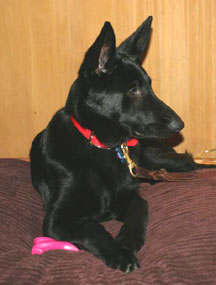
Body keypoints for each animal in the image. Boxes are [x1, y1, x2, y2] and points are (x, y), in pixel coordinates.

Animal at [30, 16, 214, 272]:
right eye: (133, 89)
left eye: (149, 86)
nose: (180, 124)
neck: (100, 146)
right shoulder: (58, 219)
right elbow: (92, 227)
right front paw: (119, 252)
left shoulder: (129, 196)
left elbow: (141, 207)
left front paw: (128, 239)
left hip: (160, 160)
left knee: (194, 165)